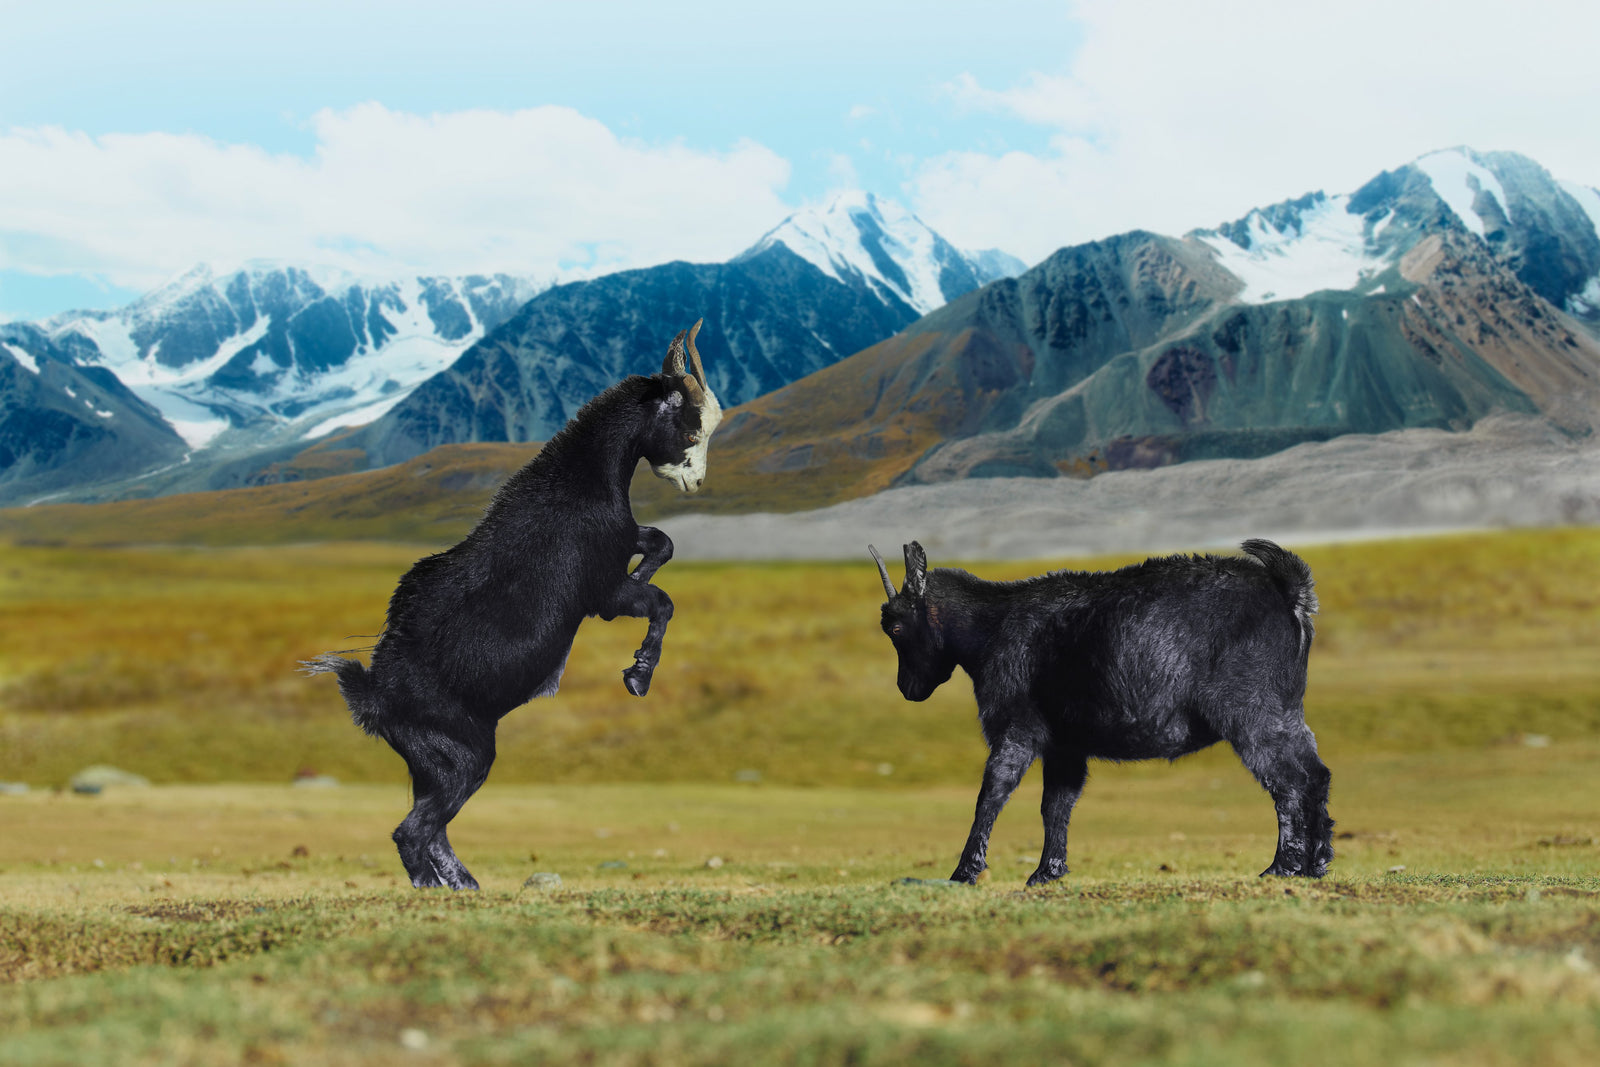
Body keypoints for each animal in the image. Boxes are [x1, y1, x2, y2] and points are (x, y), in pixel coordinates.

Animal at [305, 321, 722, 890]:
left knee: (431, 828)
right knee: (412, 832)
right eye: (688, 427)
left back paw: (465, 884)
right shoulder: (602, 588)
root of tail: (374, 698)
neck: (581, 479)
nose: (694, 482)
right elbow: (661, 602)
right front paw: (638, 675)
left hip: (430, 764)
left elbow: (663, 543)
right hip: (464, 754)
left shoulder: (621, 544)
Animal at [869, 539, 1332, 885]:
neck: (990, 626)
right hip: (1287, 711)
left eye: (896, 627)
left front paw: (964, 872)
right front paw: (1046, 873)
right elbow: (1057, 804)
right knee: (1316, 774)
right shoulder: (1065, 745)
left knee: (1287, 782)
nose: (908, 689)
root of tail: (1290, 592)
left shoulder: (1017, 728)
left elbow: (993, 793)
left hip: (1251, 713)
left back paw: (1281, 867)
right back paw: (1317, 863)